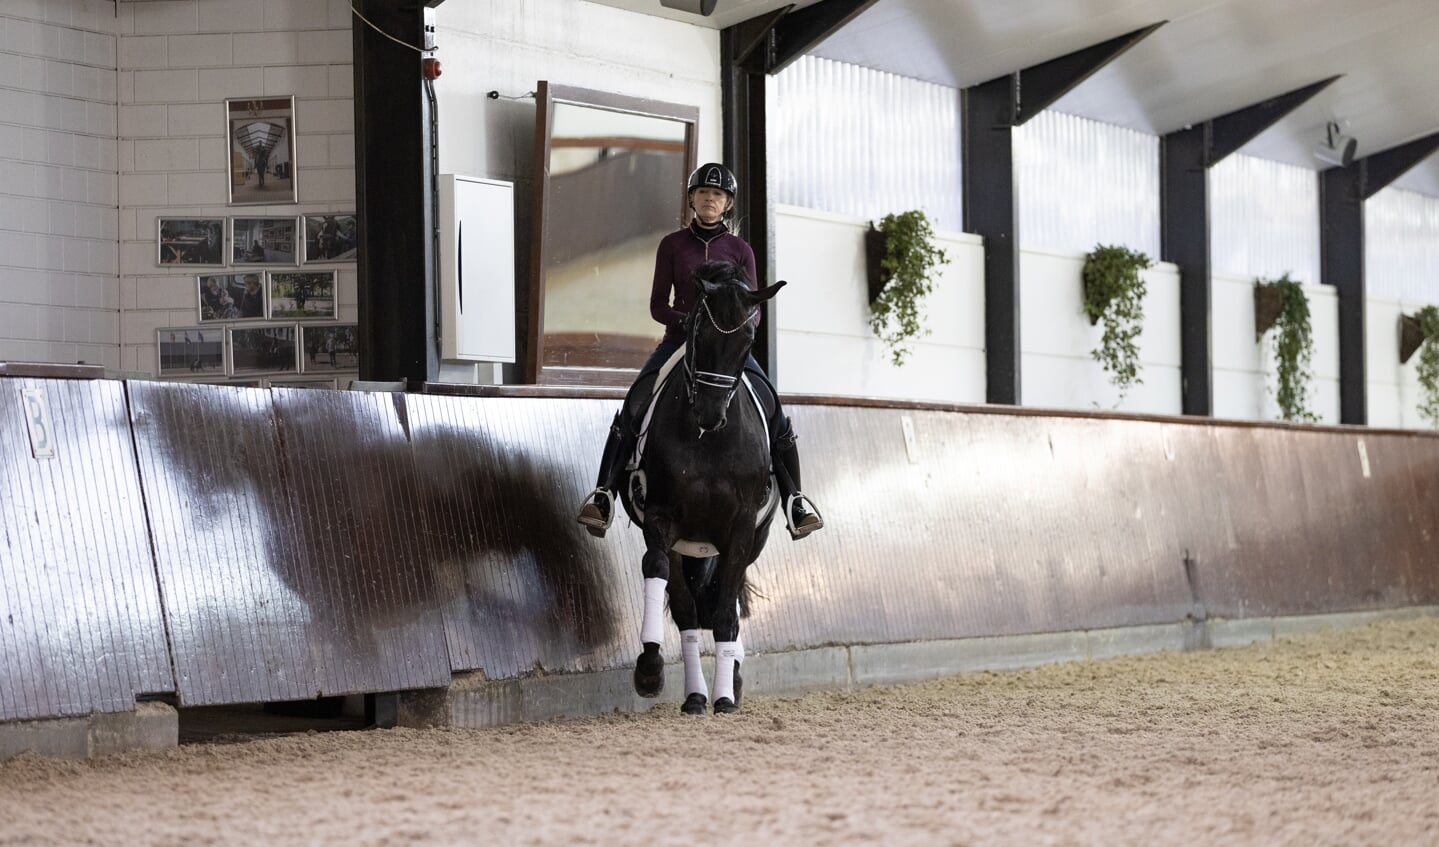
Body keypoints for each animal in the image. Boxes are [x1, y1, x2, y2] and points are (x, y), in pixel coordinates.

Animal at [621, 258, 788, 713]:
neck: (709, 440)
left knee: (719, 602)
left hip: (753, 538)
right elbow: (668, 586)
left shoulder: (742, 527)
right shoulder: (662, 519)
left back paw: (731, 678)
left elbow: (725, 612)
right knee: (692, 607)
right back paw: (696, 691)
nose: (711, 414)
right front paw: (651, 669)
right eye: (698, 330)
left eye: (748, 340)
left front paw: (726, 695)